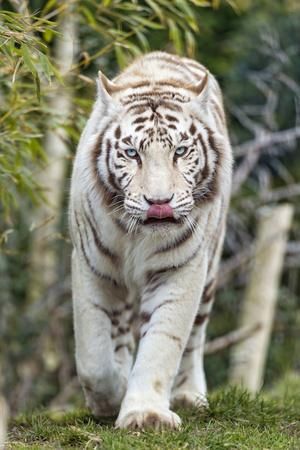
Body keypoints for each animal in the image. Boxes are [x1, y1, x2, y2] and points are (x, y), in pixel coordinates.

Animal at [69, 51, 232, 430]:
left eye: (181, 151)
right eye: (131, 153)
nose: (159, 202)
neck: (136, 236)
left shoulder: (180, 269)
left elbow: (163, 343)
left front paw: (145, 414)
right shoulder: (92, 265)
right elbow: (94, 356)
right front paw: (110, 398)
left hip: (210, 271)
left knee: (194, 338)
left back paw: (188, 395)